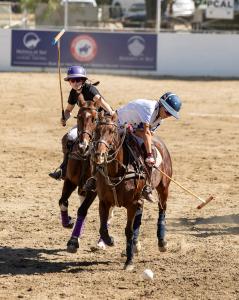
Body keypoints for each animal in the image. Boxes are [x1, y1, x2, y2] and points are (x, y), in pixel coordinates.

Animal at [91, 111, 172, 270]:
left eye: (112, 131)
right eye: (96, 130)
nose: (99, 155)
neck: (116, 171)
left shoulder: (132, 204)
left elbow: (128, 230)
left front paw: (129, 261)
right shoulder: (104, 202)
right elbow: (103, 228)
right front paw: (110, 240)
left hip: (164, 187)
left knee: (162, 209)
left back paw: (162, 242)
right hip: (141, 198)